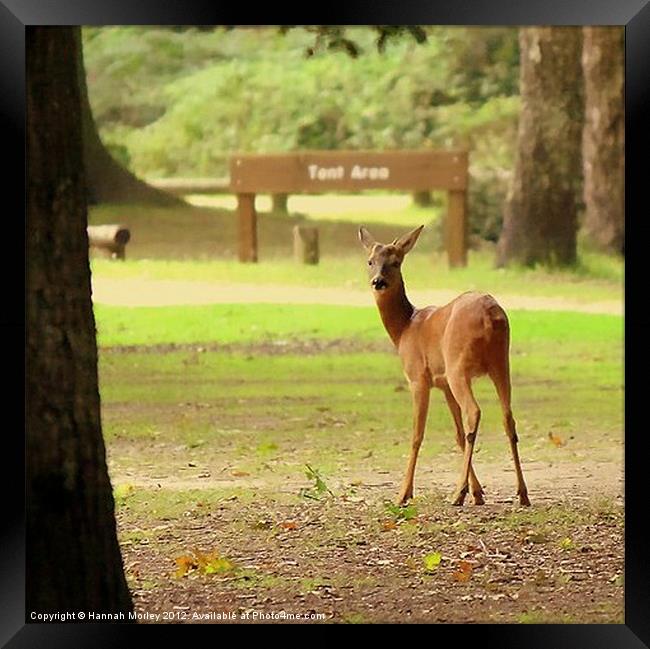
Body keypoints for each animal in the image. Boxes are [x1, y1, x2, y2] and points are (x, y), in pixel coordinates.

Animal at [356, 225, 528, 508]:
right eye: (370, 261)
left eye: (396, 262)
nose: (377, 281)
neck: (405, 329)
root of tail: (491, 315)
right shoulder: (444, 383)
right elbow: (457, 433)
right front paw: (477, 492)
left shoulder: (418, 377)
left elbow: (417, 434)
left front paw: (403, 494)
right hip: (501, 362)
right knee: (508, 419)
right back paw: (522, 493)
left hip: (459, 364)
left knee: (474, 412)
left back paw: (457, 494)